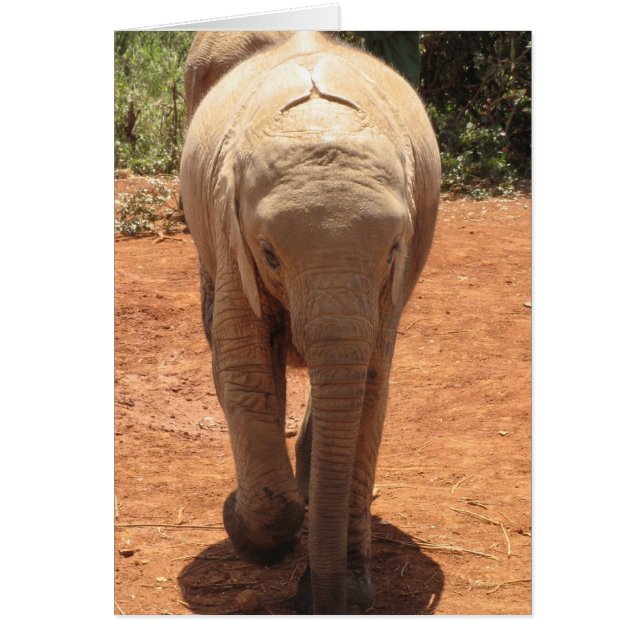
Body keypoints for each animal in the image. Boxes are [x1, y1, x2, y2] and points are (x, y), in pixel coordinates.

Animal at [180, 31, 441, 614]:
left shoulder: (389, 284)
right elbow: (245, 373)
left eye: (393, 251)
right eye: (270, 256)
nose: (323, 604)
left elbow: (369, 389)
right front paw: (241, 526)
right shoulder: (232, 238)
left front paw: (352, 592)